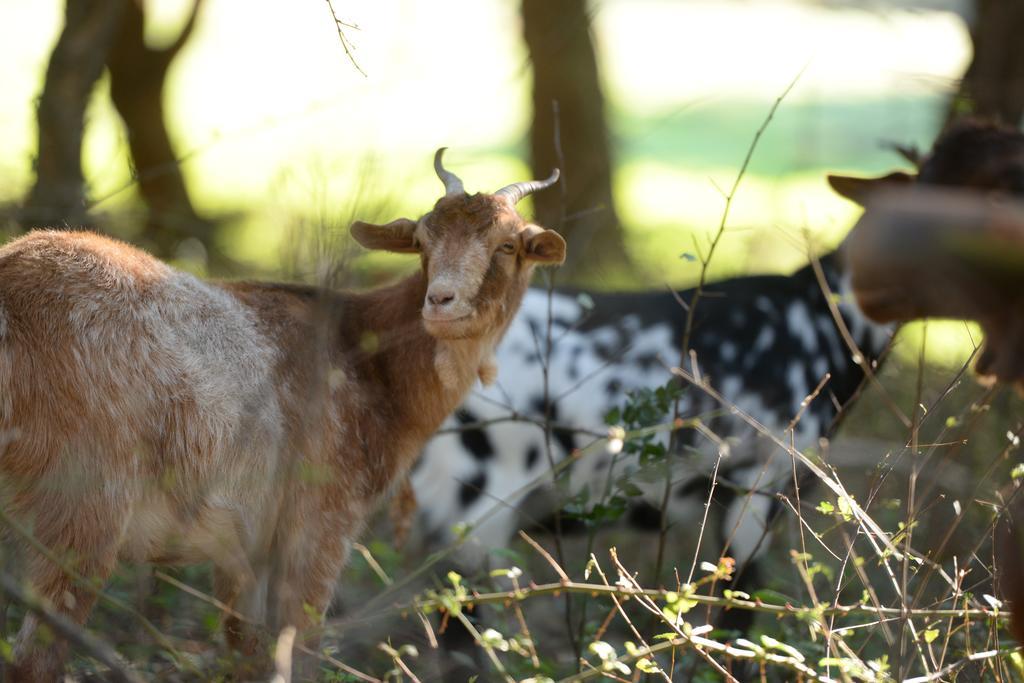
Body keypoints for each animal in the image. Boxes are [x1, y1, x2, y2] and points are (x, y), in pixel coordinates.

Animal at [0, 148, 565, 679]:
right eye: (423, 241)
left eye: (508, 245)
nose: (442, 301)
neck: (367, 361)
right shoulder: (320, 521)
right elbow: (299, 649)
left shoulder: (244, 547)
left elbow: (247, 653)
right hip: (84, 503)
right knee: (35, 659)